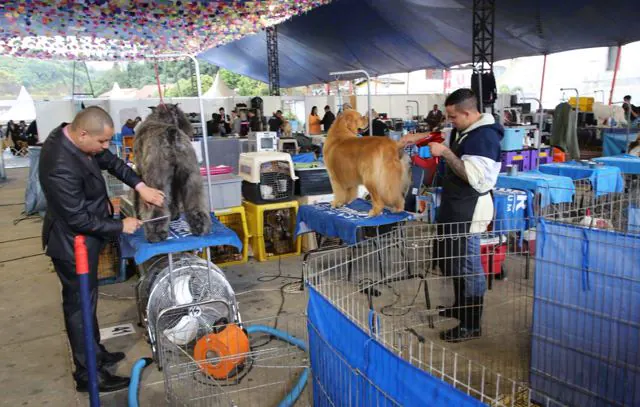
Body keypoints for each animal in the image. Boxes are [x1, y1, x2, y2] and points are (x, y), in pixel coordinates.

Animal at [134, 103, 211, 242]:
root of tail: (171, 133)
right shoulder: (175, 181)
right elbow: (174, 198)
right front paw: (175, 215)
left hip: (156, 182)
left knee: (156, 208)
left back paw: (155, 233)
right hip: (190, 177)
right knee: (195, 201)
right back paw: (199, 226)